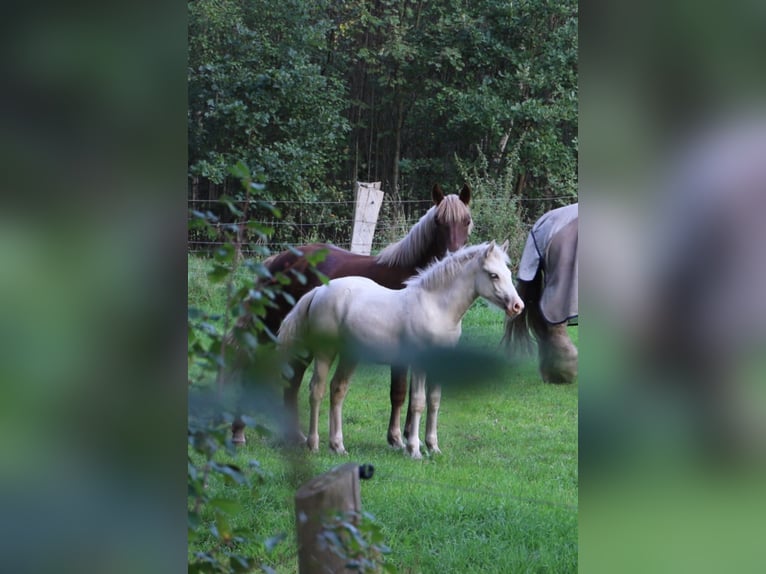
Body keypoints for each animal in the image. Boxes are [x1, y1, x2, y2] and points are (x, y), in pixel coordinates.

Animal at [232, 184, 474, 446]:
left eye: (466, 220)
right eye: (438, 221)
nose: (453, 256)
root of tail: (277, 260)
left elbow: (412, 395)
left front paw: (411, 437)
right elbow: (398, 392)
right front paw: (396, 438)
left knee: (292, 381)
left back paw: (295, 436)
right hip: (270, 328)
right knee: (248, 367)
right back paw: (239, 433)